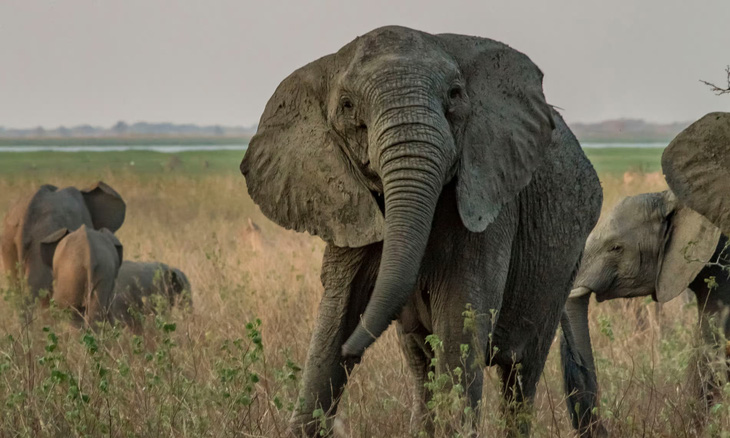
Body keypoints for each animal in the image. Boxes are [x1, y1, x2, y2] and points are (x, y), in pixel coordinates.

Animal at [242, 25, 600, 436]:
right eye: (347, 106)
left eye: (455, 95)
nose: (353, 349)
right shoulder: (348, 204)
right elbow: (337, 311)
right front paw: (337, 343)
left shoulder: (487, 196)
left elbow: (460, 319)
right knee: (420, 359)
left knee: (521, 373)